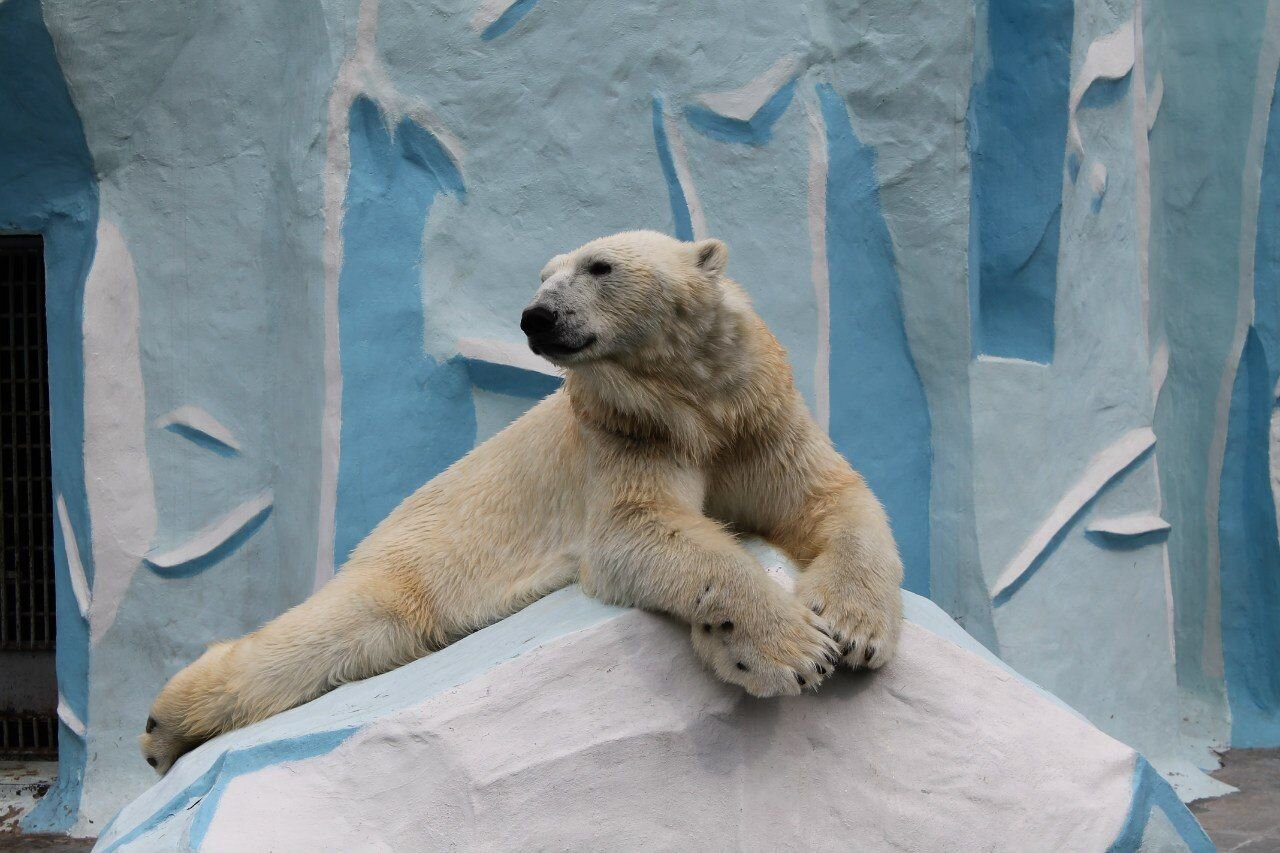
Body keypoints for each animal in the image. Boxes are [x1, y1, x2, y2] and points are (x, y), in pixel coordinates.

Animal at [140, 230, 904, 773]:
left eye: (599, 266)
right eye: (544, 274)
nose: (537, 316)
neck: (693, 405)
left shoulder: (758, 417)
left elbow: (831, 498)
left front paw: (854, 627)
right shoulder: (626, 433)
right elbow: (640, 530)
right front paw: (796, 649)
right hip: (413, 562)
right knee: (329, 631)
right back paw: (163, 726)